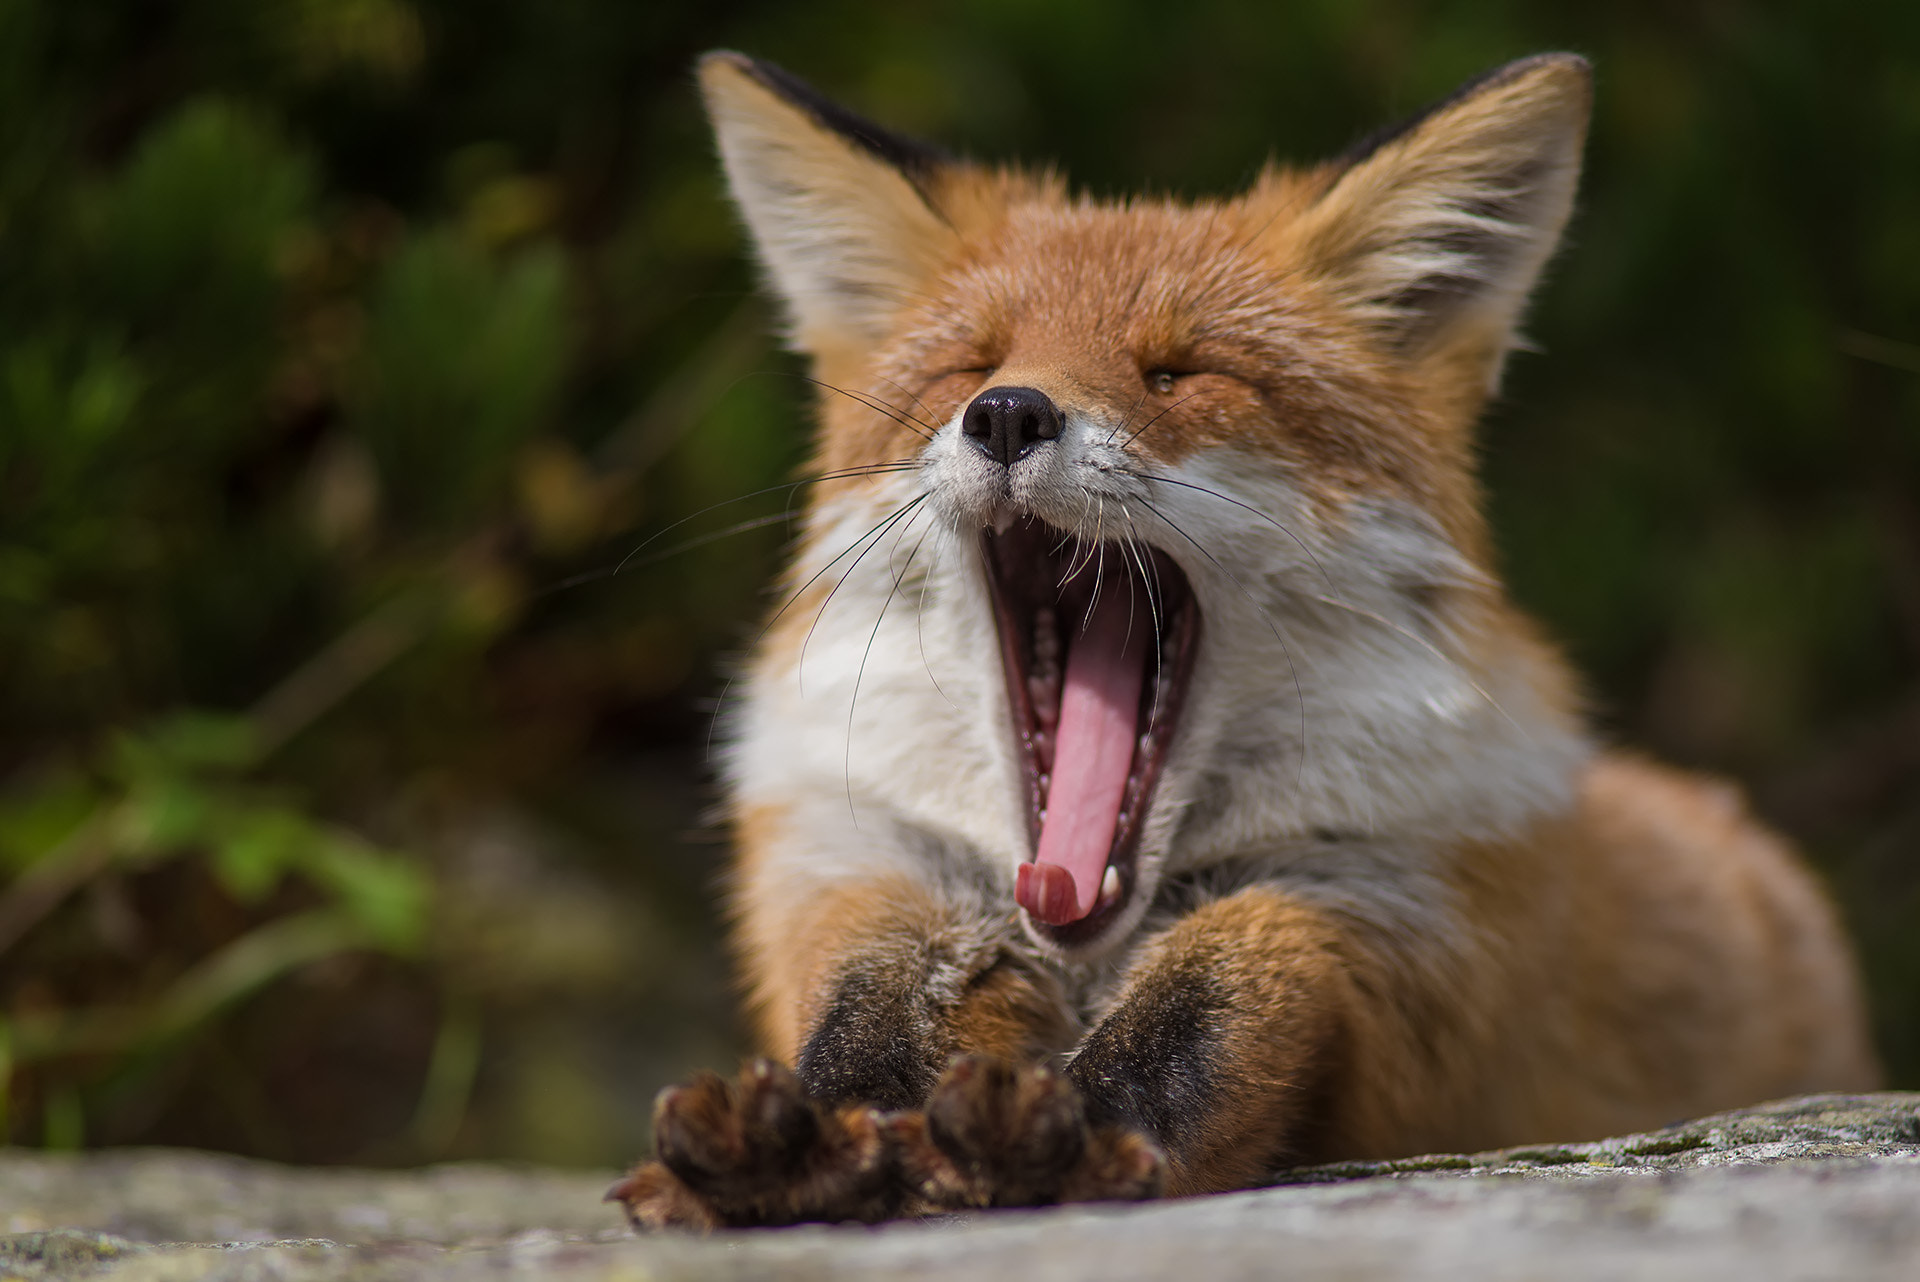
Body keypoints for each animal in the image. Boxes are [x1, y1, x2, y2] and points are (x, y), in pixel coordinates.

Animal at [610, 52, 1873, 1228]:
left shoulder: (1399, 907)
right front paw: (803, 1136)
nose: (1008, 412)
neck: (1087, 945)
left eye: (1179, 372)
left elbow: (1217, 994)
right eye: (969, 365)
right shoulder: (864, 857)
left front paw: (1084, 1129)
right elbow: (869, 1008)